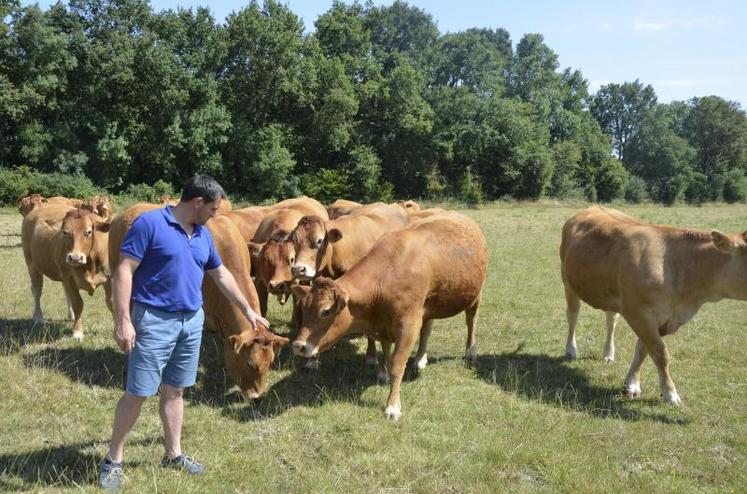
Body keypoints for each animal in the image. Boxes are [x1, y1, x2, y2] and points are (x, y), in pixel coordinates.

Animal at [21, 205, 112, 340]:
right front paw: (78, 332)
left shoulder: (110, 279)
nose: (75, 258)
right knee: (37, 291)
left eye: (88, 232)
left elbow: (111, 302)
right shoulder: (70, 278)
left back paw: (71, 316)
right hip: (32, 266)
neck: (90, 265)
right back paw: (38, 317)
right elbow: (78, 303)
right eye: (65, 232)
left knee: (65, 292)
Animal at [290, 212, 488, 420]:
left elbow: (397, 365)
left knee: (471, 321)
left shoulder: (408, 326)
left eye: (326, 311)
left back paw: (470, 351)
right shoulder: (384, 323)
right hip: (430, 305)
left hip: (475, 296)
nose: (298, 346)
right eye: (304, 309)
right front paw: (382, 374)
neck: (386, 275)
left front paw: (392, 406)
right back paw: (420, 359)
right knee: (427, 329)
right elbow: (385, 350)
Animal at [560, 206, 747, 404]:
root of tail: (592, 207)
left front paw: (631, 385)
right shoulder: (638, 312)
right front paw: (670, 394)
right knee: (573, 315)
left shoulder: (663, 318)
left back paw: (608, 354)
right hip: (567, 281)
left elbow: (643, 350)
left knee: (611, 320)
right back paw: (571, 350)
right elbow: (660, 352)